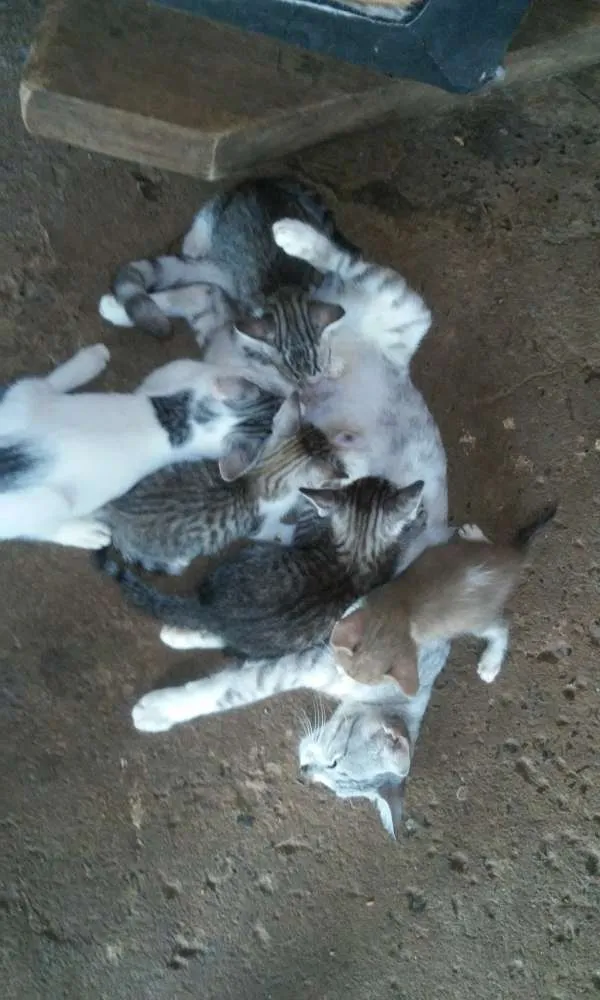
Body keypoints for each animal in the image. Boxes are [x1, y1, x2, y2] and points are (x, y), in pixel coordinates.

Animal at [0, 345, 280, 549]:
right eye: (272, 422)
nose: (283, 398)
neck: (187, 419)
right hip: (49, 501)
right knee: (32, 528)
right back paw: (85, 533)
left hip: (22, 398)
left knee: (45, 383)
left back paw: (90, 358)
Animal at [331, 507, 557, 689]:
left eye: (357, 679)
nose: (346, 677)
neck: (400, 615)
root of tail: (512, 561)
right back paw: (474, 534)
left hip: (474, 621)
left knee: (501, 629)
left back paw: (490, 663)